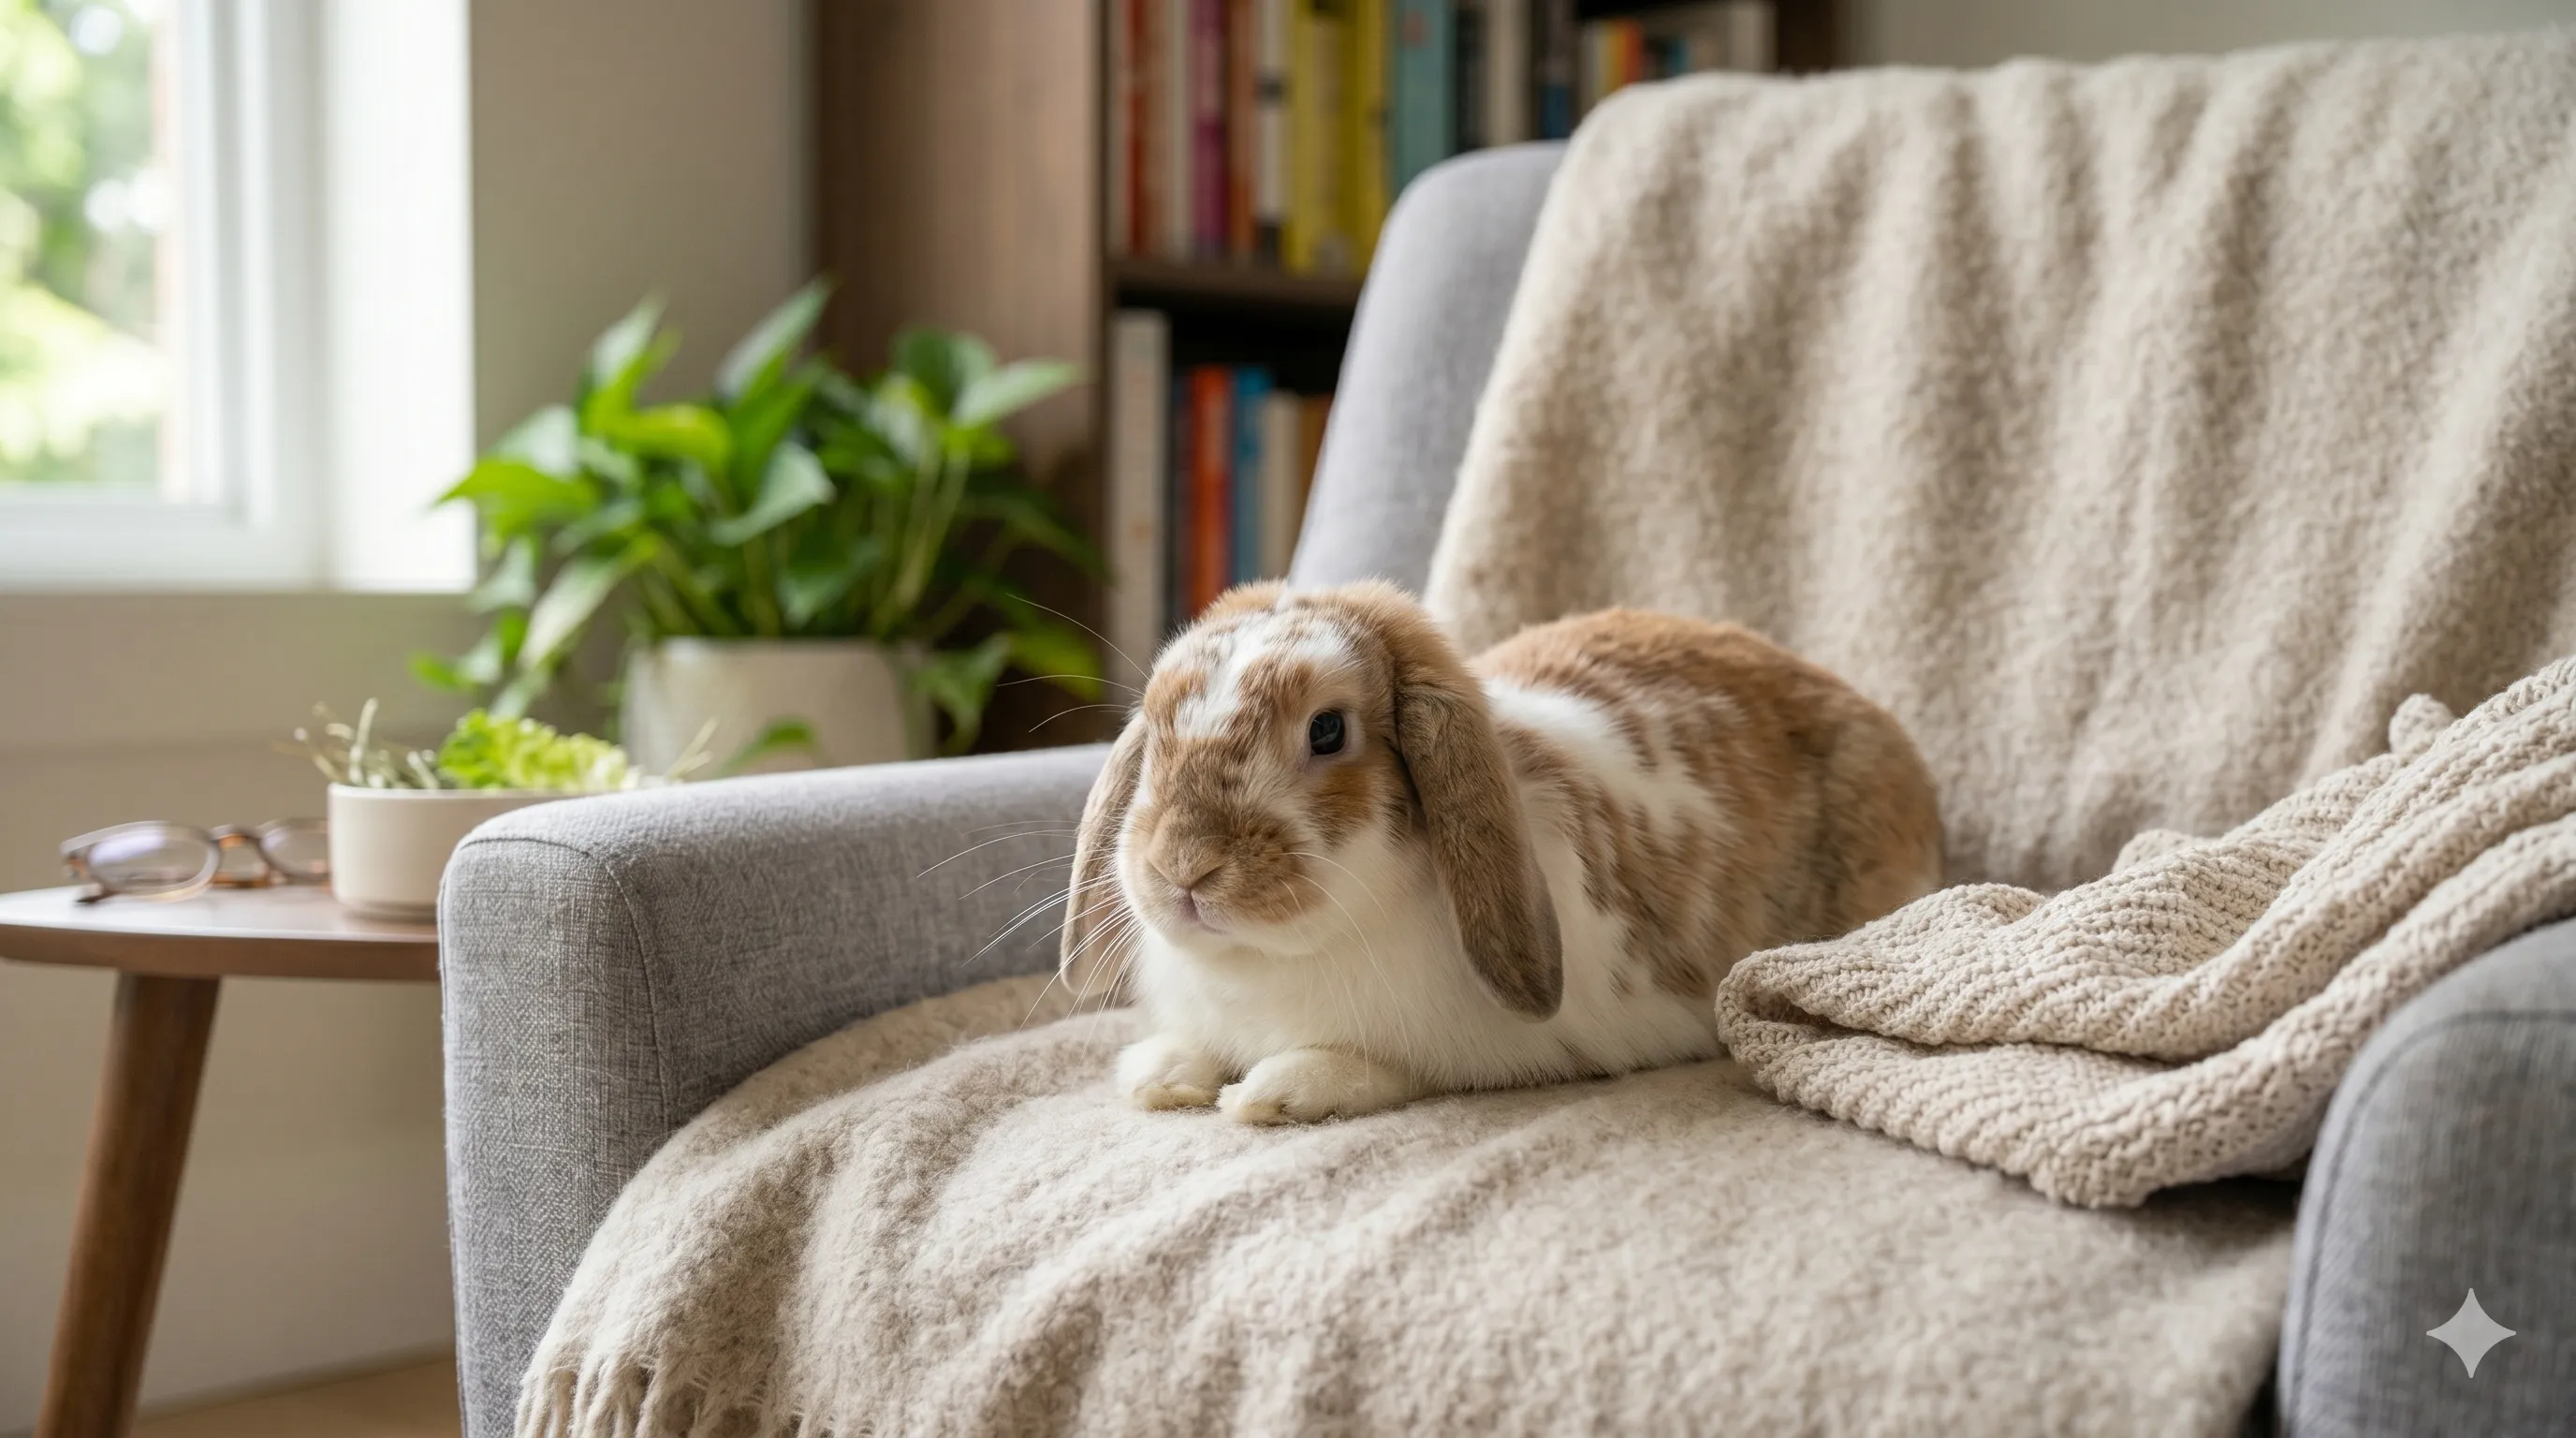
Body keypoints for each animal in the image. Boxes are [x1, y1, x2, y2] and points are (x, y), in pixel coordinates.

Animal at [1059, 580, 1942, 1125]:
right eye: (1155, 724)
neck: (1262, 964)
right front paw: (1160, 1076)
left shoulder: (1469, 1052)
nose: (1183, 867)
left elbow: (1366, 1065)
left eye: (1327, 730)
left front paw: (1271, 1094)